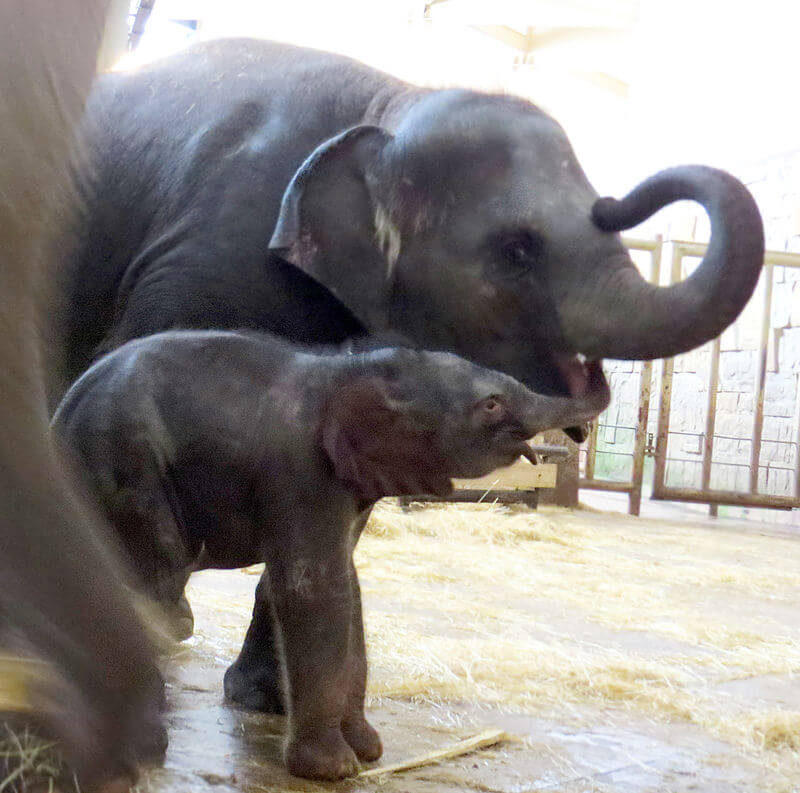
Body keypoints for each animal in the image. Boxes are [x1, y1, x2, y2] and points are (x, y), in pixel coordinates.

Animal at [53, 328, 608, 780]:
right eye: (491, 405)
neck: (354, 370)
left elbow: (349, 583)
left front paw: (368, 750)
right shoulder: (301, 471)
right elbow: (314, 585)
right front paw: (334, 770)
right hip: (126, 469)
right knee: (159, 586)